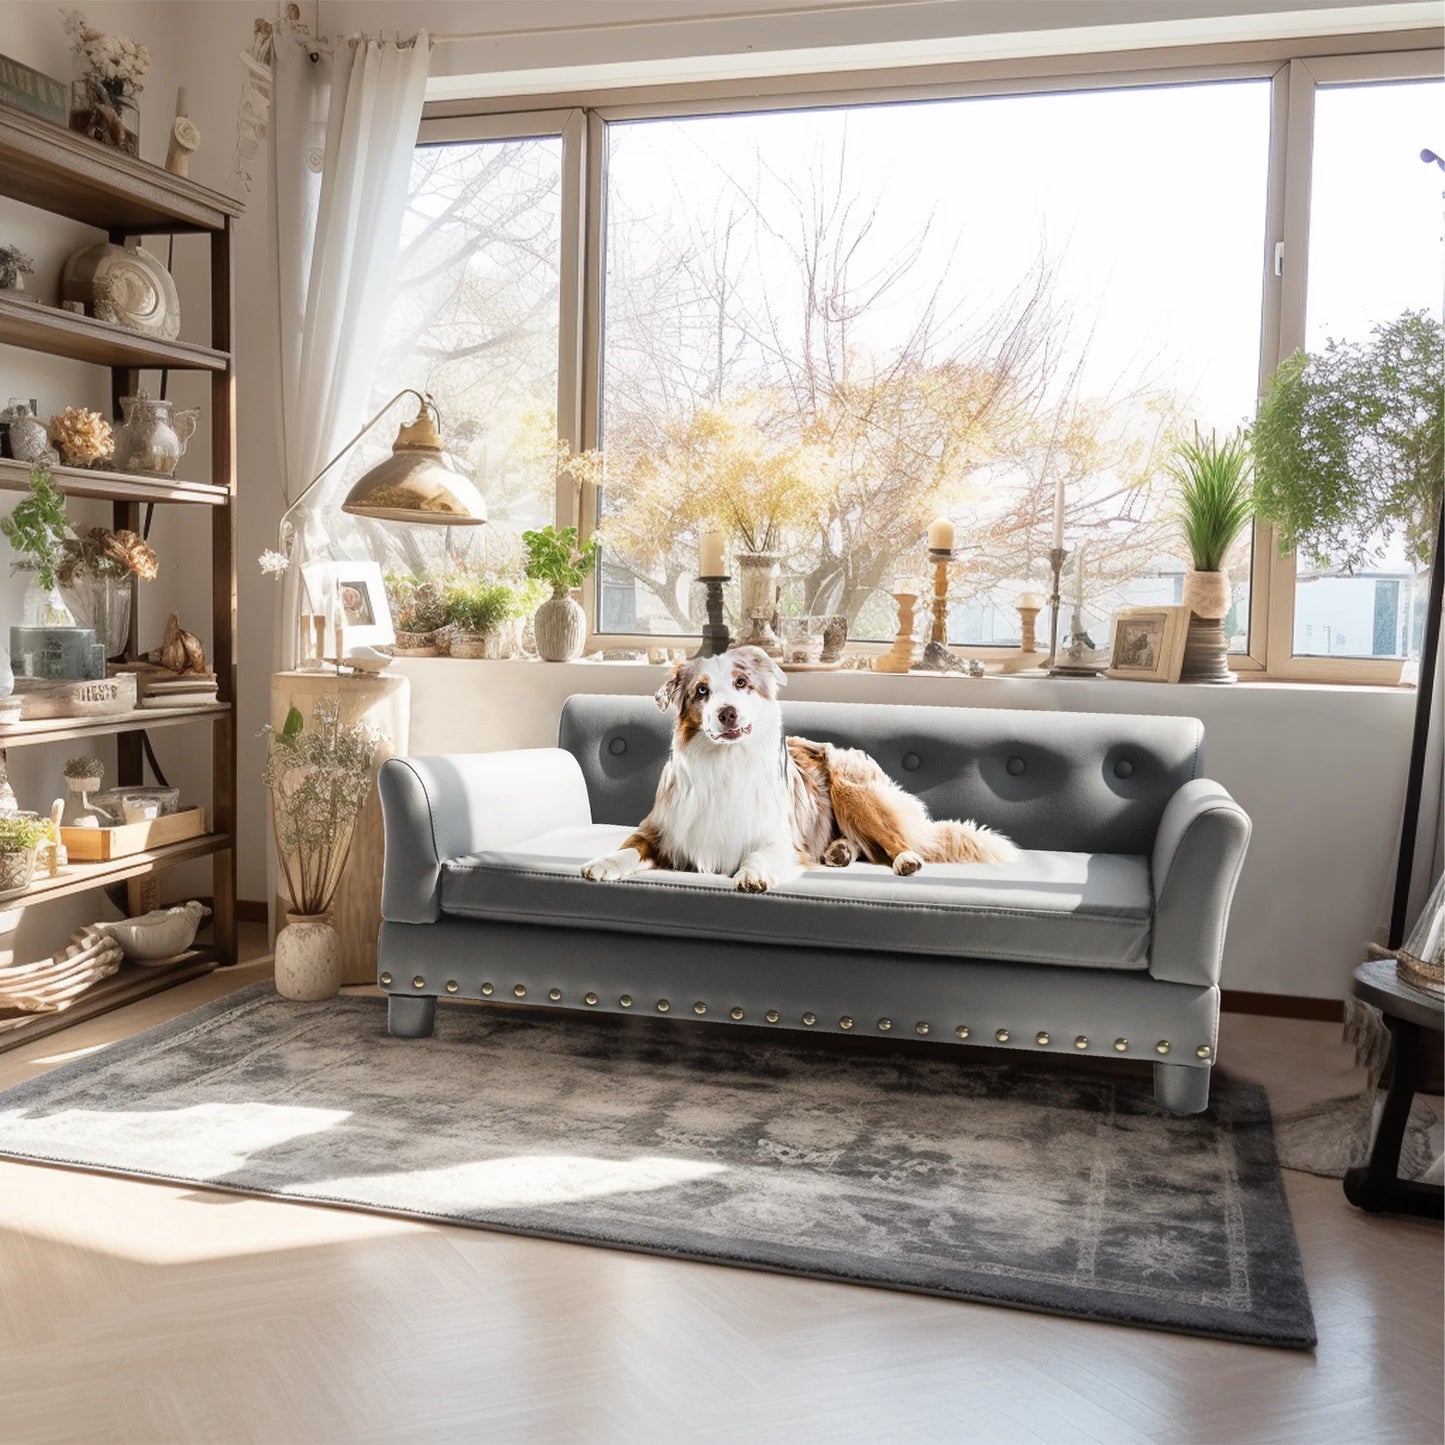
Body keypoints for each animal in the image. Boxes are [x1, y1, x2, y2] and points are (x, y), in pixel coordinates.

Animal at [583, 647, 1017, 890]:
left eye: (741, 683)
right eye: (701, 691)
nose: (728, 713)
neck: (724, 764)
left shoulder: (779, 838)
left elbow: (758, 855)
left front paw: (751, 875)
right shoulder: (659, 830)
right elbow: (626, 849)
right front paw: (600, 863)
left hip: (850, 786)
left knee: (892, 839)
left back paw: (903, 860)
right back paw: (839, 851)